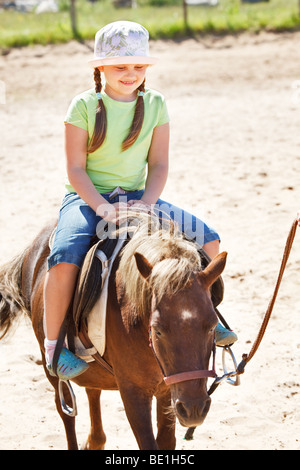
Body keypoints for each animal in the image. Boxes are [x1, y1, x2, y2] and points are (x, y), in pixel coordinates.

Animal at [0, 215, 225, 450]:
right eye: (158, 330)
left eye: (212, 326)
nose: (194, 409)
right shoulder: (133, 392)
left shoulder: (167, 390)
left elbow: (166, 441)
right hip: (50, 366)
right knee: (66, 410)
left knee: (92, 390)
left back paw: (95, 440)